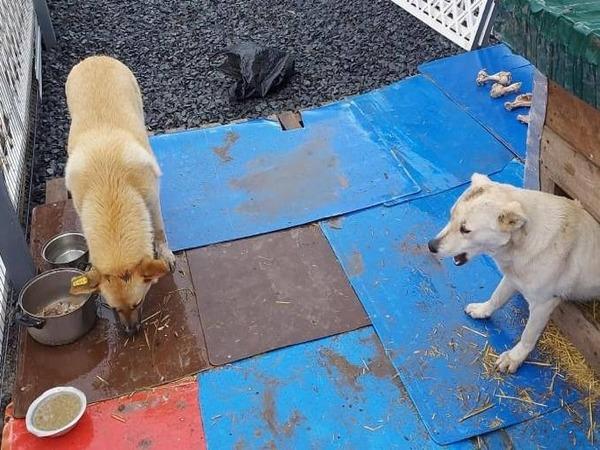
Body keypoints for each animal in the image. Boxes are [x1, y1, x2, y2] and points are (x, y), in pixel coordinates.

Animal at [65, 55, 175, 334]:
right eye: (113, 308)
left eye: (138, 303)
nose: (131, 332)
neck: (110, 192)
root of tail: (96, 57)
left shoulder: (152, 200)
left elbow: (159, 232)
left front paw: (165, 255)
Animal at [426, 174, 600, 374]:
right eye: (451, 216)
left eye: (465, 230)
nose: (431, 246)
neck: (522, 241)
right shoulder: (512, 278)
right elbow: (496, 298)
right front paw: (482, 310)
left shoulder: (543, 304)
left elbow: (528, 336)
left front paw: (514, 357)